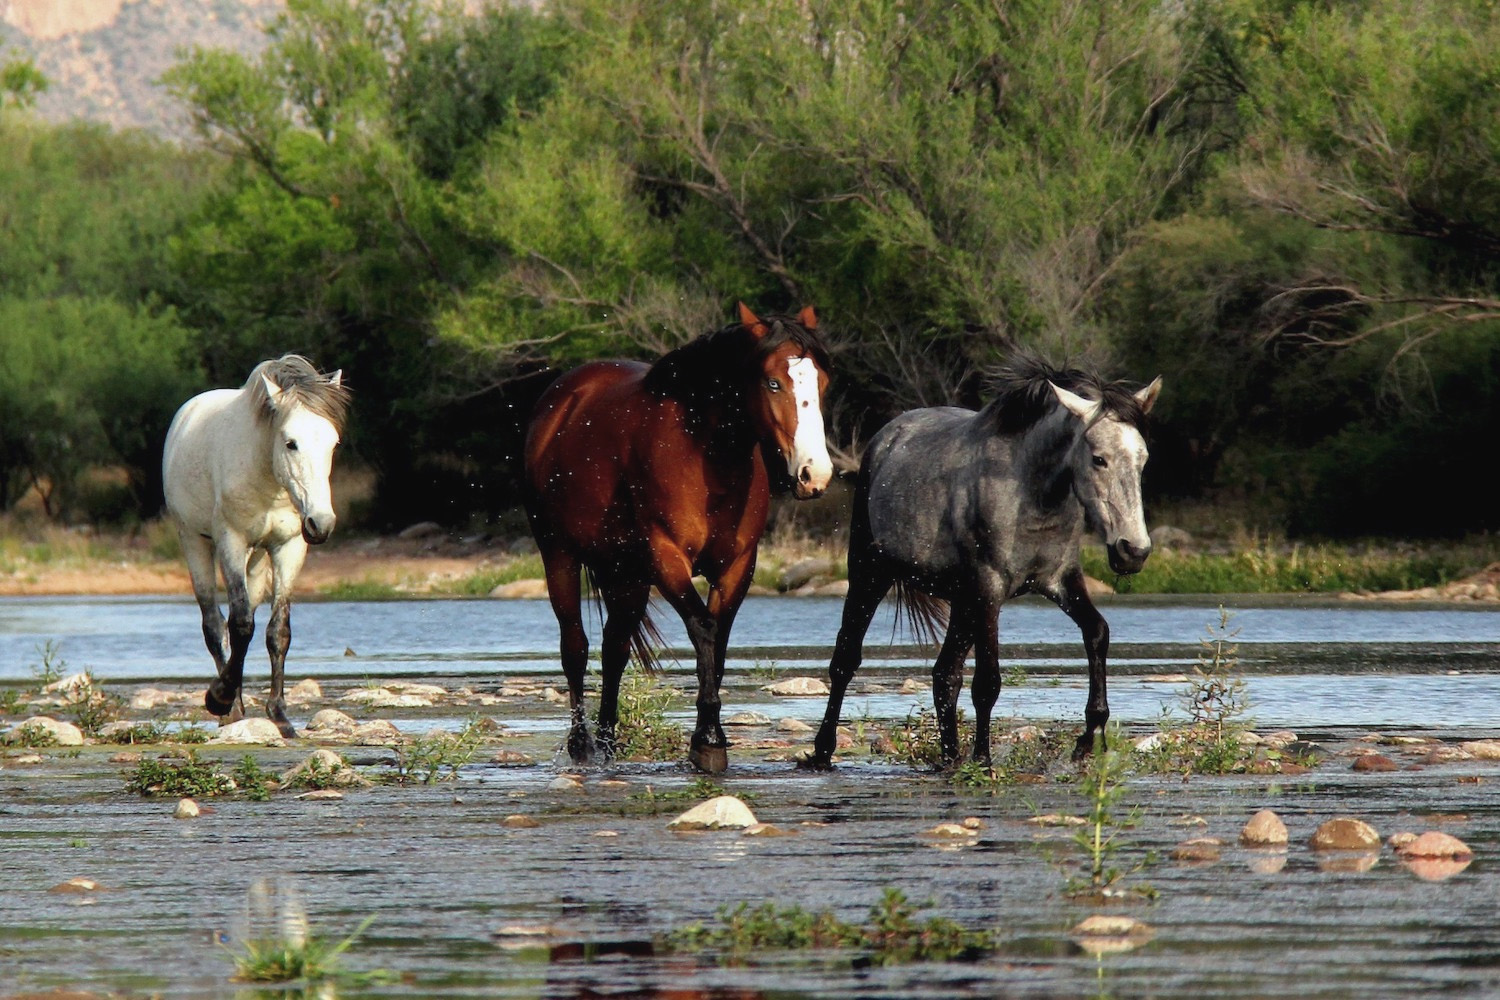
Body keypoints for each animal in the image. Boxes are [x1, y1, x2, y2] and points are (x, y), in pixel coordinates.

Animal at [162, 355, 349, 740]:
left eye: (333, 444)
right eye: (291, 442)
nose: (322, 523)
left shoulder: (290, 548)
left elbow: (278, 631)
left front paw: (280, 715)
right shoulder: (231, 542)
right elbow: (241, 625)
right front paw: (220, 697)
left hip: (259, 560)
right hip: (195, 543)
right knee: (214, 625)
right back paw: (230, 709)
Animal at [525, 305, 834, 773]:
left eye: (822, 382)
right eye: (772, 382)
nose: (814, 474)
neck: (706, 455)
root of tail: (561, 400)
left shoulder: (737, 566)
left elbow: (718, 639)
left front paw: (710, 735)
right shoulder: (667, 557)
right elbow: (703, 627)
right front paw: (708, 740)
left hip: (626, 574)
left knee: (615, 649)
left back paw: (609, 742)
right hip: (559, 555)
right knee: (575, 648)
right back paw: (582, 746)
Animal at [810, 355, 1158, 773]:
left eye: (1142, 460)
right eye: (1099, 458)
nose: (1133, 550)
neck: (1032, 492)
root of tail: (887, 438)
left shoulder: (1060, 579)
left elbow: (1097, 633)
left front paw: (1088, 738)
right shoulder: (990, 590)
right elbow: (988, 681)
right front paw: (984, 759)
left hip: (961, 601)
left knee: (945, 675)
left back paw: (949, 758)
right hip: (870, 573)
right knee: (845, 660)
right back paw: (822, 752)